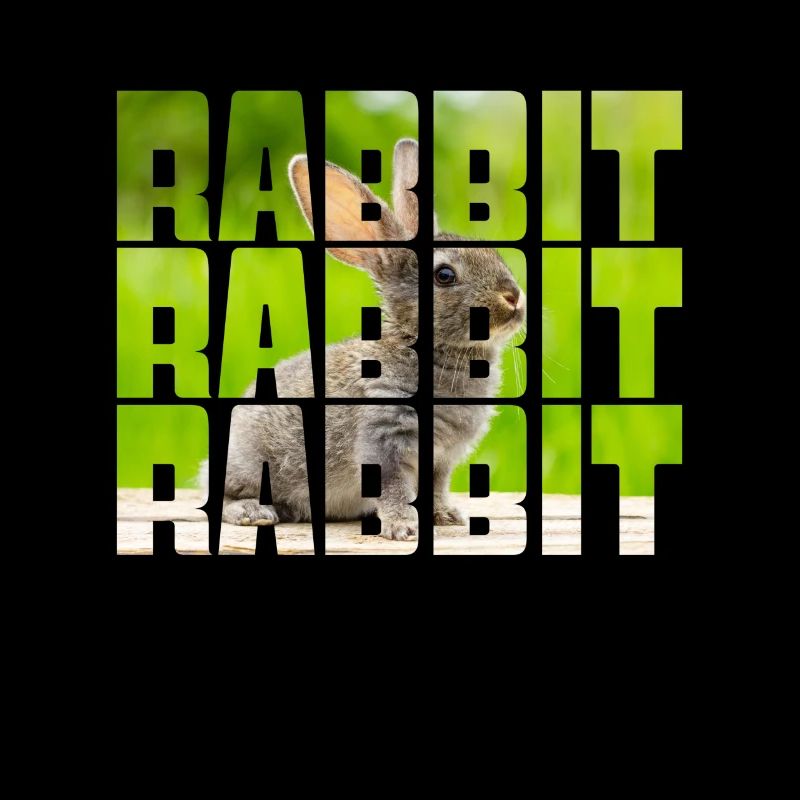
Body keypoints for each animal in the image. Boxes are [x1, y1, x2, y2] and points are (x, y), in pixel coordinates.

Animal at [219, 138, 526, 540]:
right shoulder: (383, 440)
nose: (514, 298)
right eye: (444, 275)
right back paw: (253, 512)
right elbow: (394, 488)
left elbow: (435, 488)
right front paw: (403, 528)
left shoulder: (439, 461)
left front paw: (445, 516)